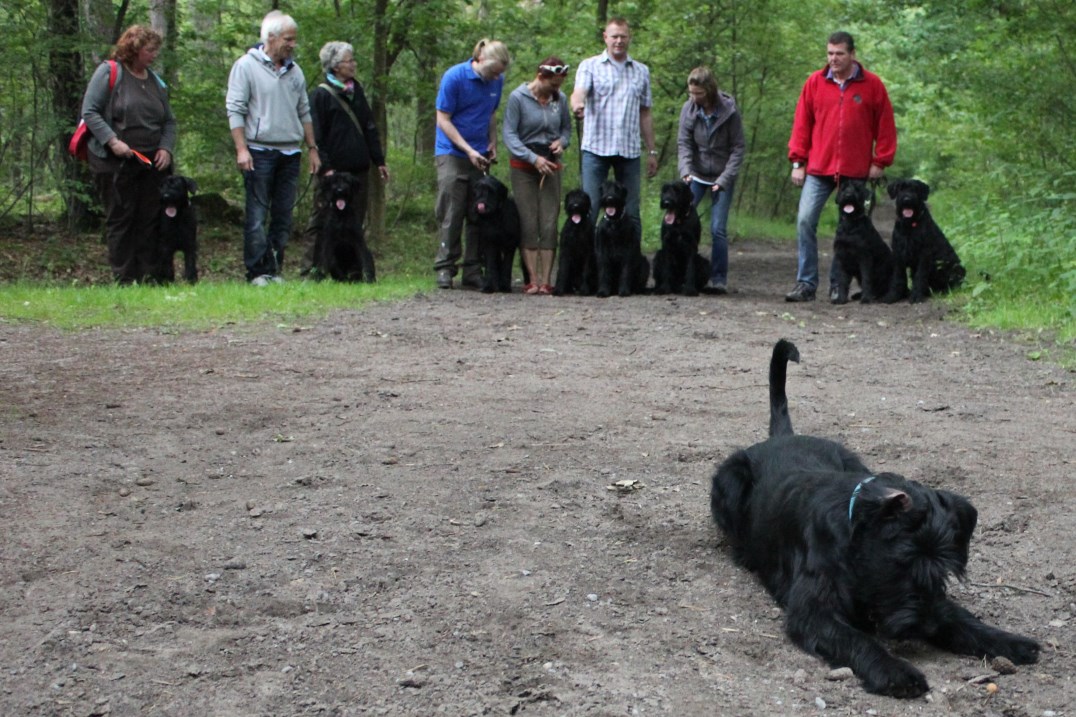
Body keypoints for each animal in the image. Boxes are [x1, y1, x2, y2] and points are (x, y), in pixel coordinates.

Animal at [710, 338, 1037, 693]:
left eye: (944, 570)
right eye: (901, 565)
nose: (928, 626)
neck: (854, 537)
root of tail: (782, 437)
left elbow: (961, 617)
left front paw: (1007, 641)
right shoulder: (814, 613)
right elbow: (858, 640)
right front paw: (895, 671)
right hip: (729, 480)